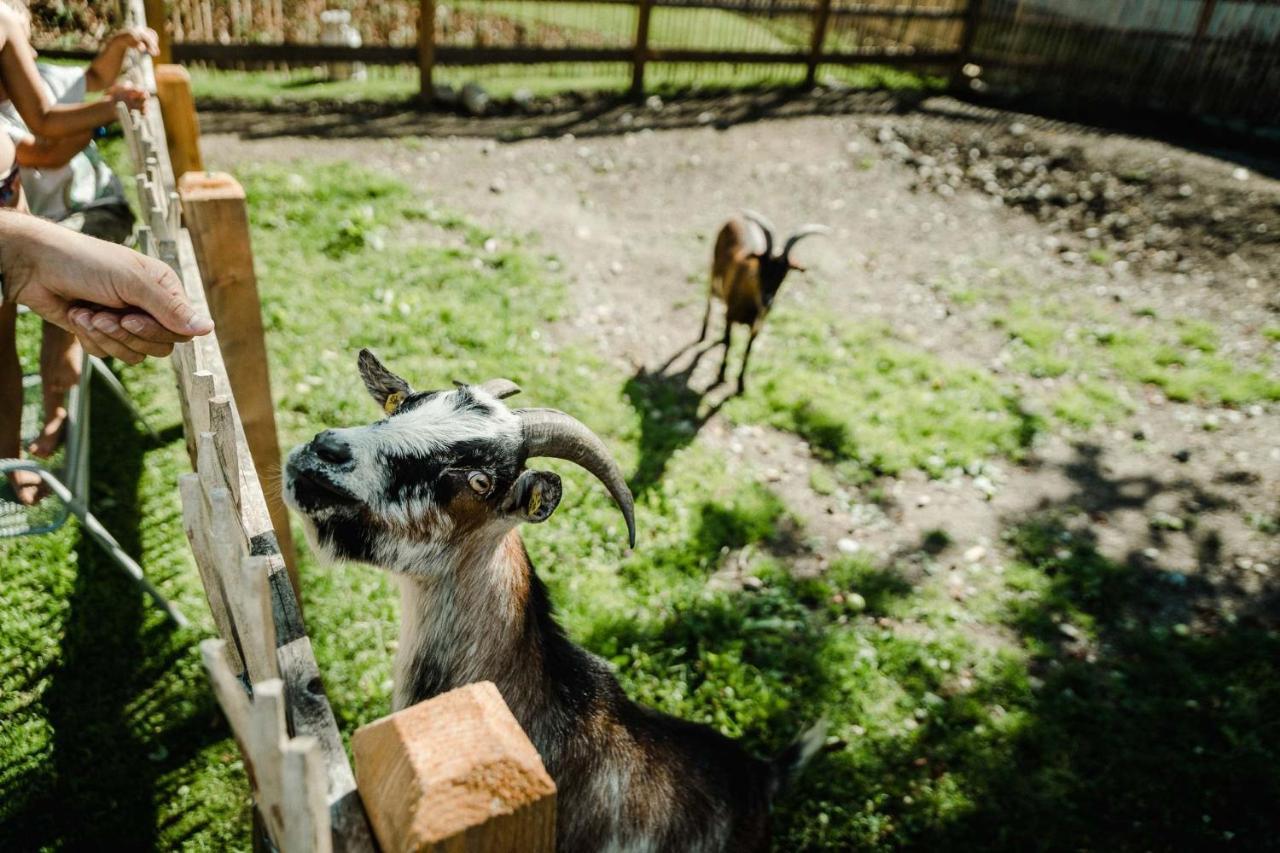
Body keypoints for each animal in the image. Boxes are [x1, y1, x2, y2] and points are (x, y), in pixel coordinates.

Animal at [701, 212, 829, 391]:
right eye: (762, 269)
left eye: (783, 274)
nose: (767, 301)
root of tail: (735, 218)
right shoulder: (730, 316)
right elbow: (729, 343)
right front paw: (720, 376)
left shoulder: (757, 326)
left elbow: (748, 350)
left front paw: (741, 385)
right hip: (714, 274)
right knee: (710, 298)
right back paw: (703, 333)